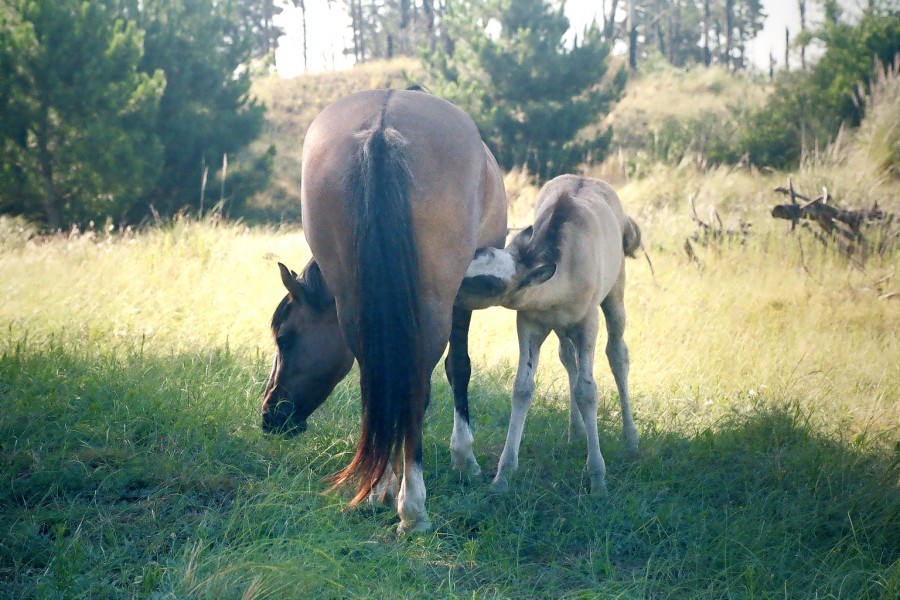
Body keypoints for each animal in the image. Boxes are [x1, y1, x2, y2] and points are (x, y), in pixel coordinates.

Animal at [260, 86, 506, 532]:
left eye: (284, 339)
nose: (269, 415)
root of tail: (380, 127)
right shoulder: (461, 297)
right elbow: (458, 369)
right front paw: (464, 460)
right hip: (432, 303)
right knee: (413, 386)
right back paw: (413, 509)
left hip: (356, 303)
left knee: (379, 379)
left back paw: (380, 490)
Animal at [460, 176, 644, 494]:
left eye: (489, 284)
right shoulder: (530, 323)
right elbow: (522, 388)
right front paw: (503, 476)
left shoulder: (587, 323)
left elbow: (587, 391)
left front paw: (598, 479)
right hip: (561, 328)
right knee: (568, 358)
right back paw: (576, 432)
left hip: (615, 294)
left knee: (617, 354)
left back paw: (630, 439)